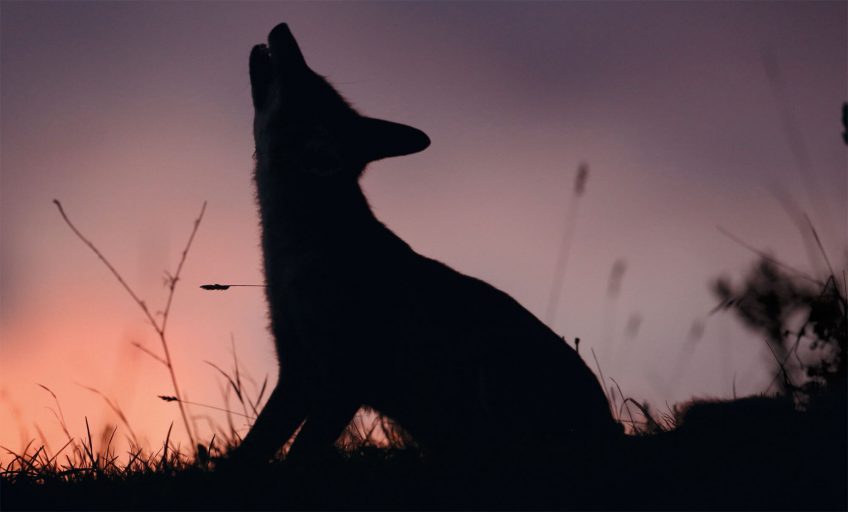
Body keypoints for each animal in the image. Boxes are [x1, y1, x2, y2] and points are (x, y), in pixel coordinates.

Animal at [233, 23, 620, 464]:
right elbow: (249, 451)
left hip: (494, 377)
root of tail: (610, 427)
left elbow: (298, 453)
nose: (282, 27)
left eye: (305, 81)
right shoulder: (297, 373)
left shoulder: (343, 380)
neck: (297, 254)